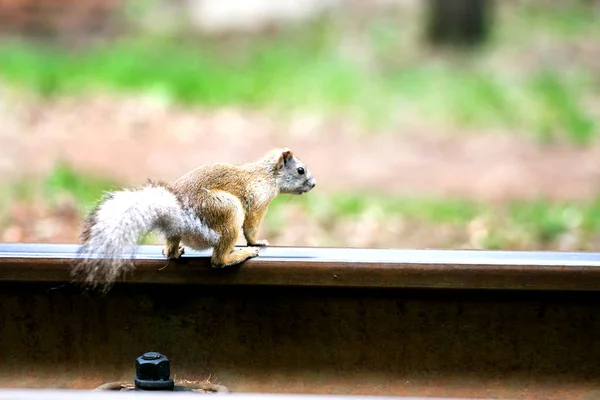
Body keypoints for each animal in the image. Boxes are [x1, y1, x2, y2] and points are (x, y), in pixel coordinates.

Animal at [74, 147, 314, 288]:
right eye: (300, 170)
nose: (313, 184)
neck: (266, 175)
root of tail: (180, 217)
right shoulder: (257, 203)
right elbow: (251, 228)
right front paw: (257, 242)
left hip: (179, 232)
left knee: (172, 251)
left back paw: (172, 251)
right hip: (228, 212)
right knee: (218, 260)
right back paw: (240, 254)